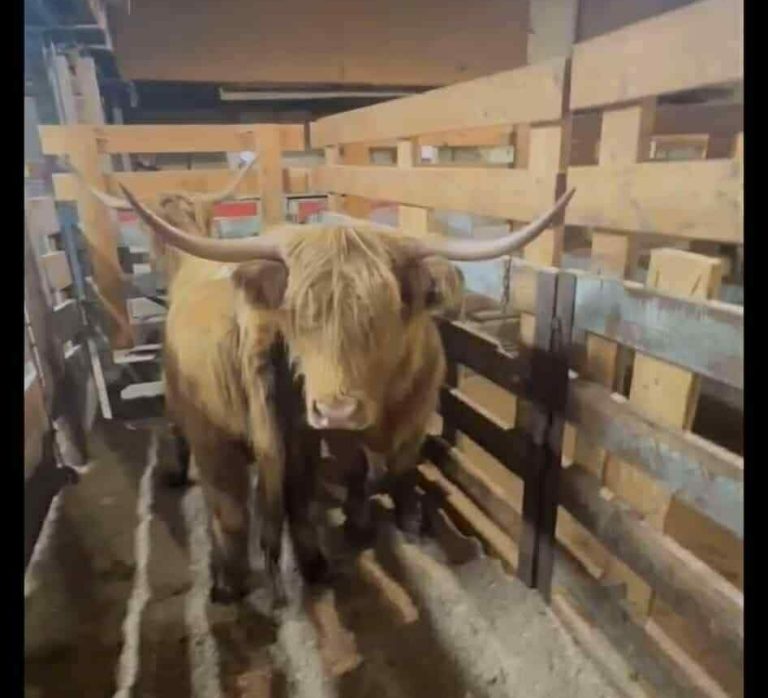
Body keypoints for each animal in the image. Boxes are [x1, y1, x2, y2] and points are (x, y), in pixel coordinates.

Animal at [116, 182, 575, 605]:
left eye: (384, 313)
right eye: (298, 317)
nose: (337, 410)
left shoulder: (417, 414)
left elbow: (404, 467)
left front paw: (410, 520)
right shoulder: (335, 432)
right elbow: (357, 468)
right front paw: (359, 523)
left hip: (254, 438)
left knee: (258, 504)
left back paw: (266, 576)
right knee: (245, 507)